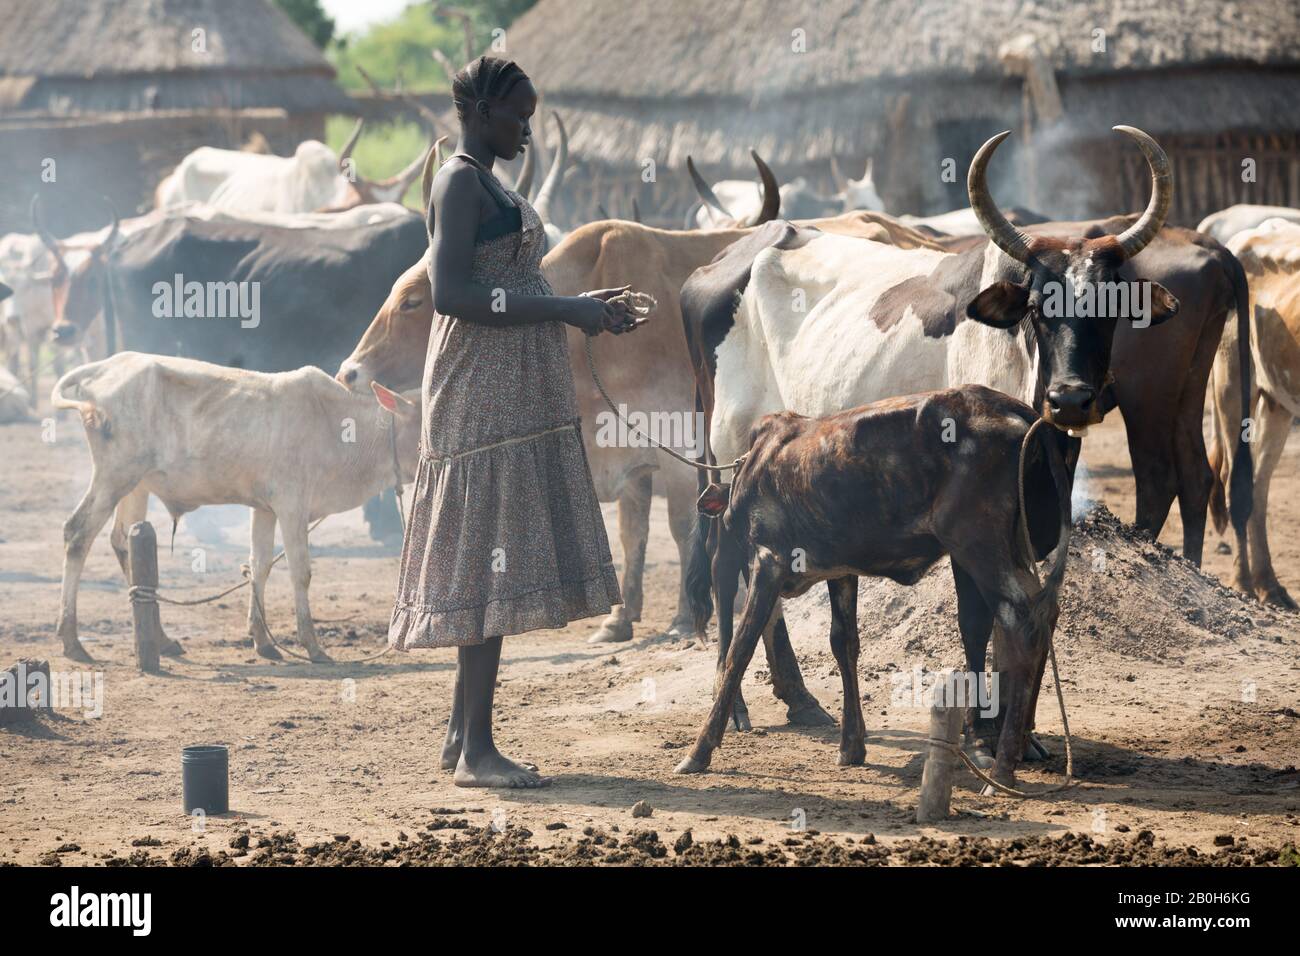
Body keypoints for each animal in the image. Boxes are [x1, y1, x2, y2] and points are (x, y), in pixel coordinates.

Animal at [53, 353, 418, 665]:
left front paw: (263, 640)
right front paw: (313, 646)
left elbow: (260, 566)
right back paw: (72, 640)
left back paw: (162, 639)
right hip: (115, 475)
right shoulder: (292, 505)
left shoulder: (266, 508)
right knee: (77, 533)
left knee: (122, 540)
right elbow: (300, 572)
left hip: (136, 484)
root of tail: (108, 365)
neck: (338, 426)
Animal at [676, 385, 1071, 790]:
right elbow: (844, 643)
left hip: (979, 546)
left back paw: (1003, 768)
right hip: (1010, 549)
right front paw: (852, 744)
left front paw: (700, 750)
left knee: (1021, 622)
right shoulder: (841, 570)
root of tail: (1016, 409)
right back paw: (1019, 745)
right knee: (1044, 612)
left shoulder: (769, 561)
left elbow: (740, 650)